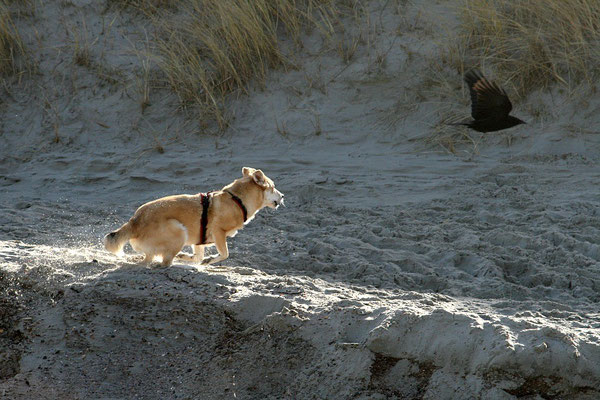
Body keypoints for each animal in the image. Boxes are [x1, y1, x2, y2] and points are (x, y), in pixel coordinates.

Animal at [104, 167, 284, 268]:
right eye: (273, 187)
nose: (282, 196)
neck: (237, 199)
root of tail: (135, 222)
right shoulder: (219, 232)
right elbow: (224, 254)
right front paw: (209, 260)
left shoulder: (199, 240)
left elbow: (198, 256)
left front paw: (188, 257)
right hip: (178, 231)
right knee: (164, 263)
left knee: (149, 260)